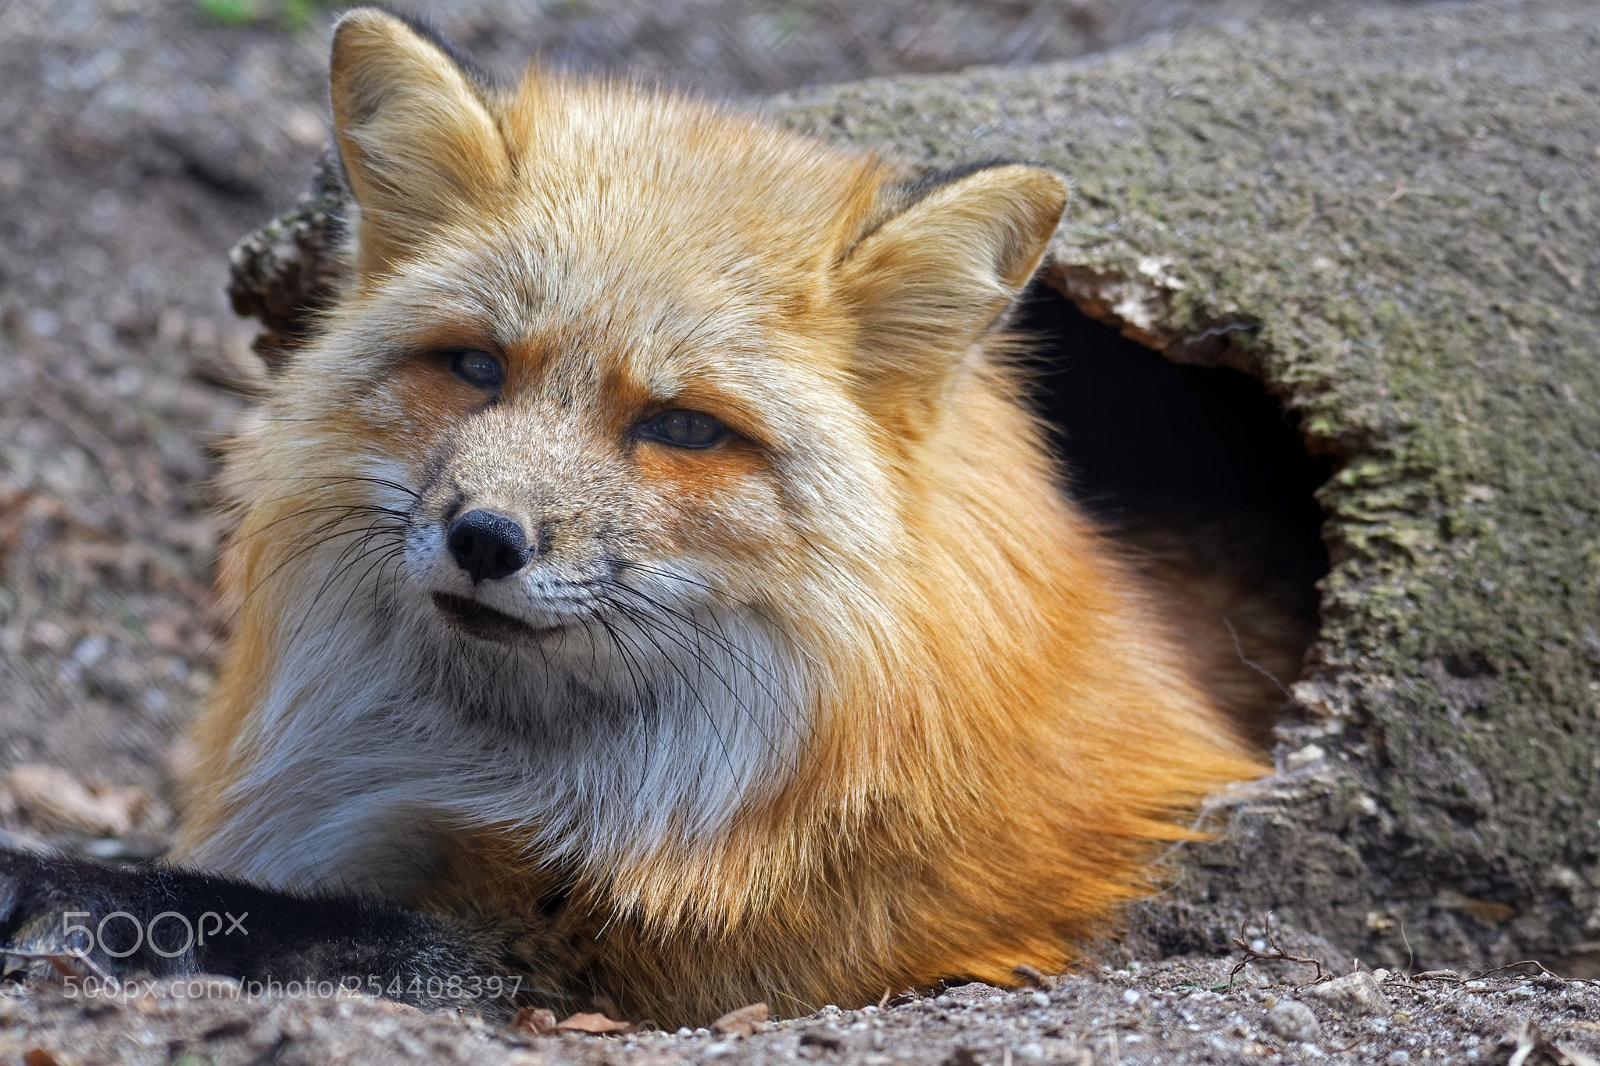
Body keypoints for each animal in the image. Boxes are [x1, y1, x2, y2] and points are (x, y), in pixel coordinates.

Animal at [0, 9, 1263, 1026]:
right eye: (474, 366)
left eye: (684, 427)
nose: (486, 537)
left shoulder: (618, 964)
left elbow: (287, 920)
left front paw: (84, 901)